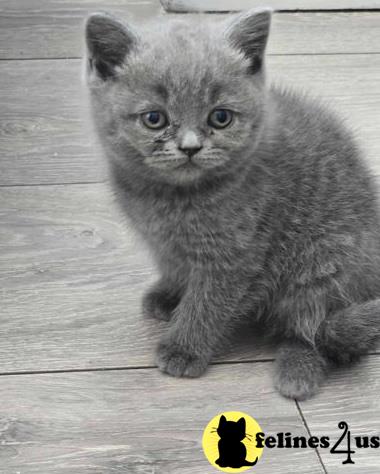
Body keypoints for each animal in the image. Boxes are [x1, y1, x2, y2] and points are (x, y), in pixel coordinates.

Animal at [85, 8, 380, 400]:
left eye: (220, 117)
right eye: (154, 119)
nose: (190, 147)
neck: (172, 199)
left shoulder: (237, 255)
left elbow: (209, 302)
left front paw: (183, 348)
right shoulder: (164, 243)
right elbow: (176, 266)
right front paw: (168, 294)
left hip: (321, 261)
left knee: (313, 327)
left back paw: (297, 370)